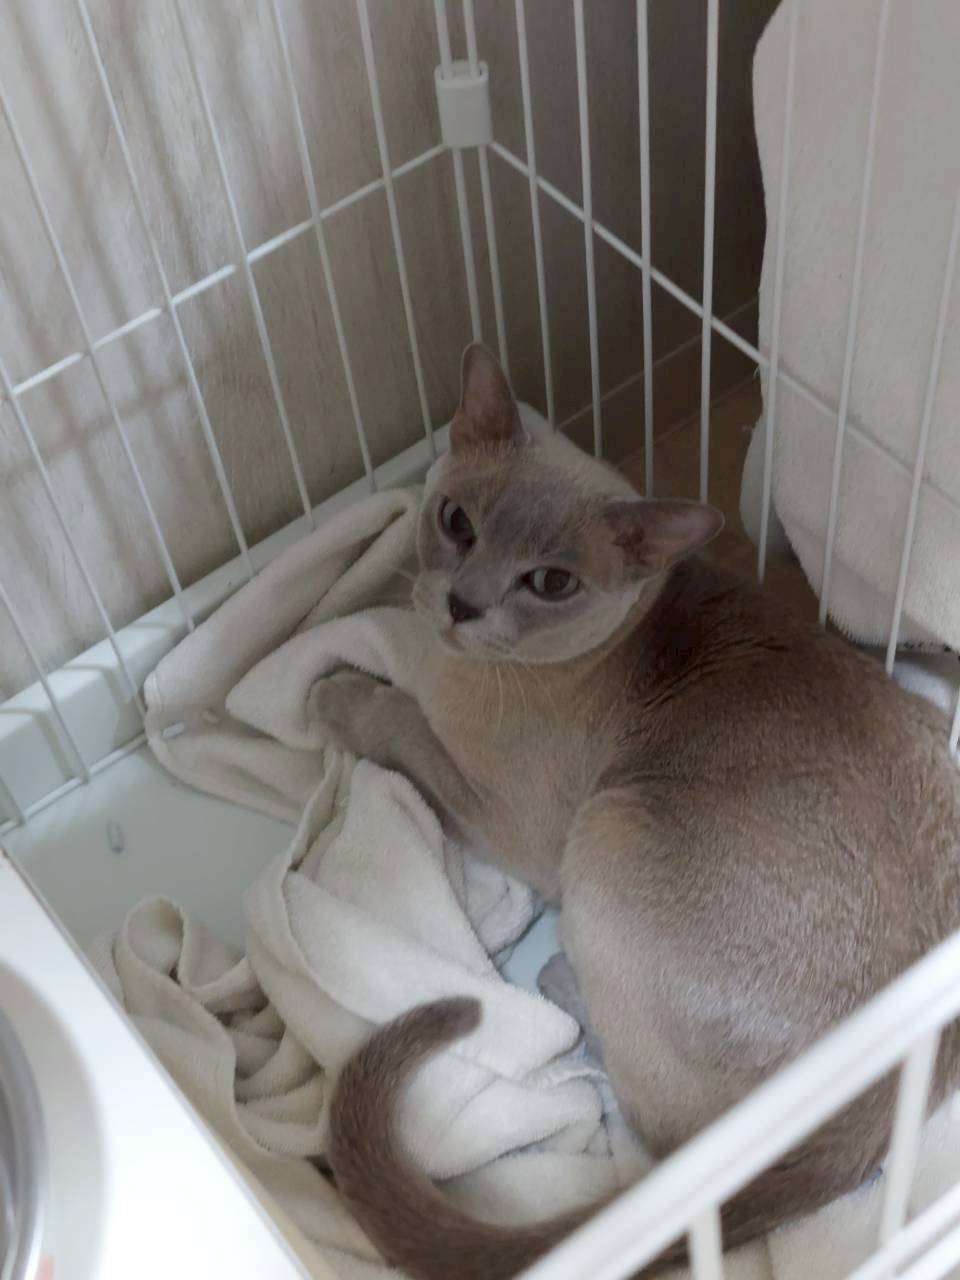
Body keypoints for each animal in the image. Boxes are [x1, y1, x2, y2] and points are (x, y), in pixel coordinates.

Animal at [320, 343, 960, 1279]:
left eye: (550, 582)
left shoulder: (509, 821)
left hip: (608, 829)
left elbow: (397, 717)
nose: (464, 603)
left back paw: (558, 985)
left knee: (657, 1132)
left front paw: (333, 695)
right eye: (456, 523)